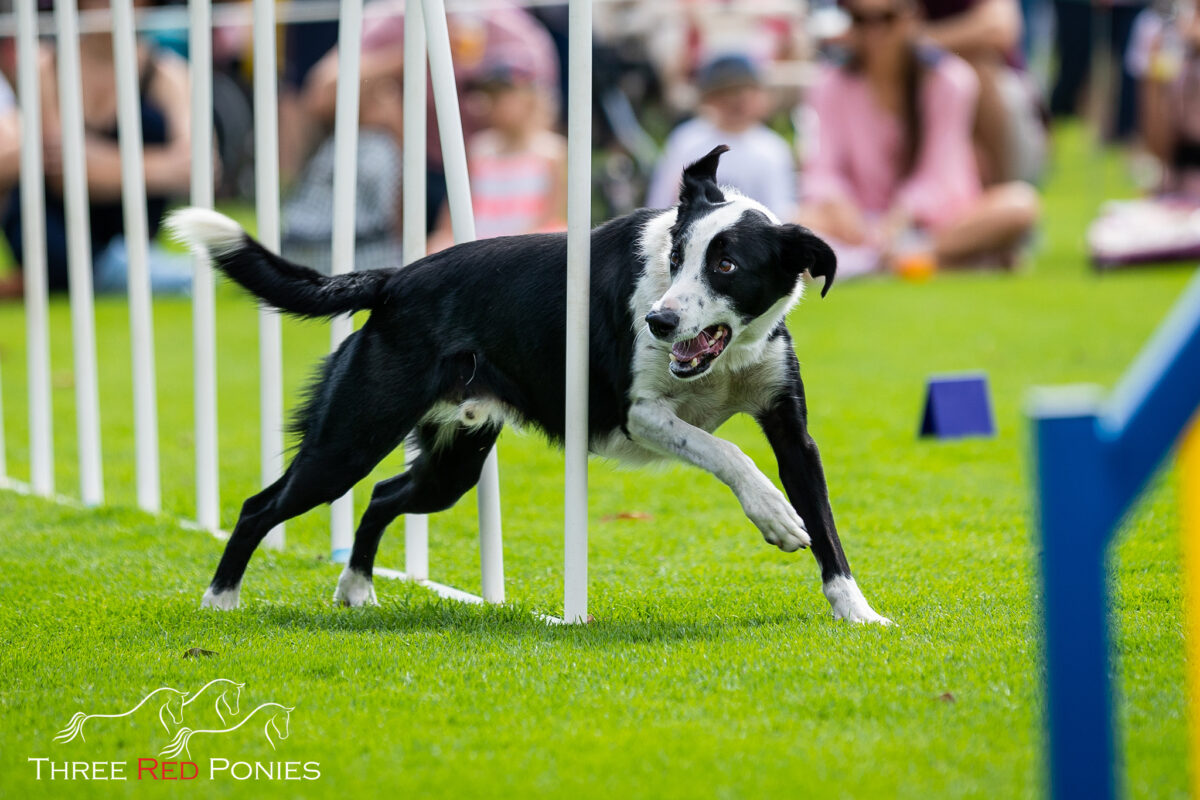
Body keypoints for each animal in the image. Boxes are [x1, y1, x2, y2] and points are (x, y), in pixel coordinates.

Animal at [174, 146, 897, 628]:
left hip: (453, 465)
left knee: (381, 497)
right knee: (260, 507)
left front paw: (859, 614)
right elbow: (730, 454)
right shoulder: (642, 415)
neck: (727, 354)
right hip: (350, 439)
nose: (659, 322)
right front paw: (774, 515)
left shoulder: (791, 429)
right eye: (674, 260)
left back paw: (355, 591)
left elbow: (827, 528)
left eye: (725, 266)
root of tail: (395, 279)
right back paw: (219, 602)